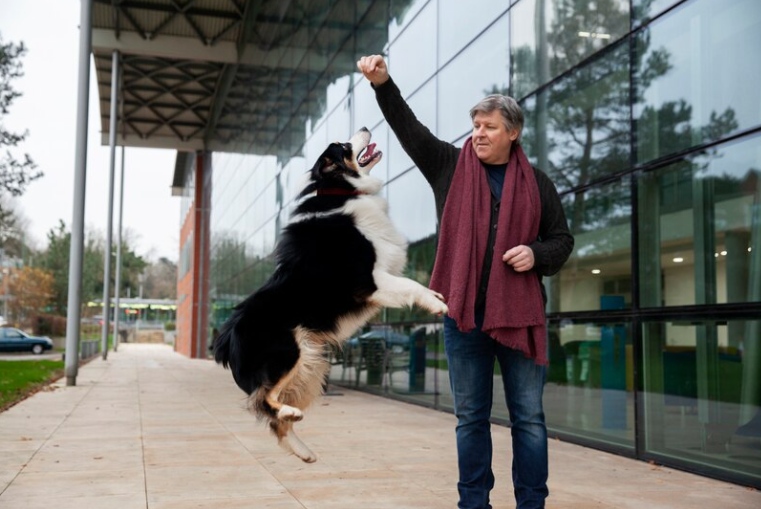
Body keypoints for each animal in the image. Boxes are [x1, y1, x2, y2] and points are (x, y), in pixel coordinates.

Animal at [212, 126, 446, 460]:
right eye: (342, 146)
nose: (365, 128)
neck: (340, 189)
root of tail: (225, 337)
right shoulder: (369, 280)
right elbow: (412, 286)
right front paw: (436, 304)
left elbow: (413, 282)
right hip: (289, 351)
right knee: (263, 399)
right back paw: (290, 415)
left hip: (311, 364)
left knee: (274, 419)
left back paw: (303, 450)